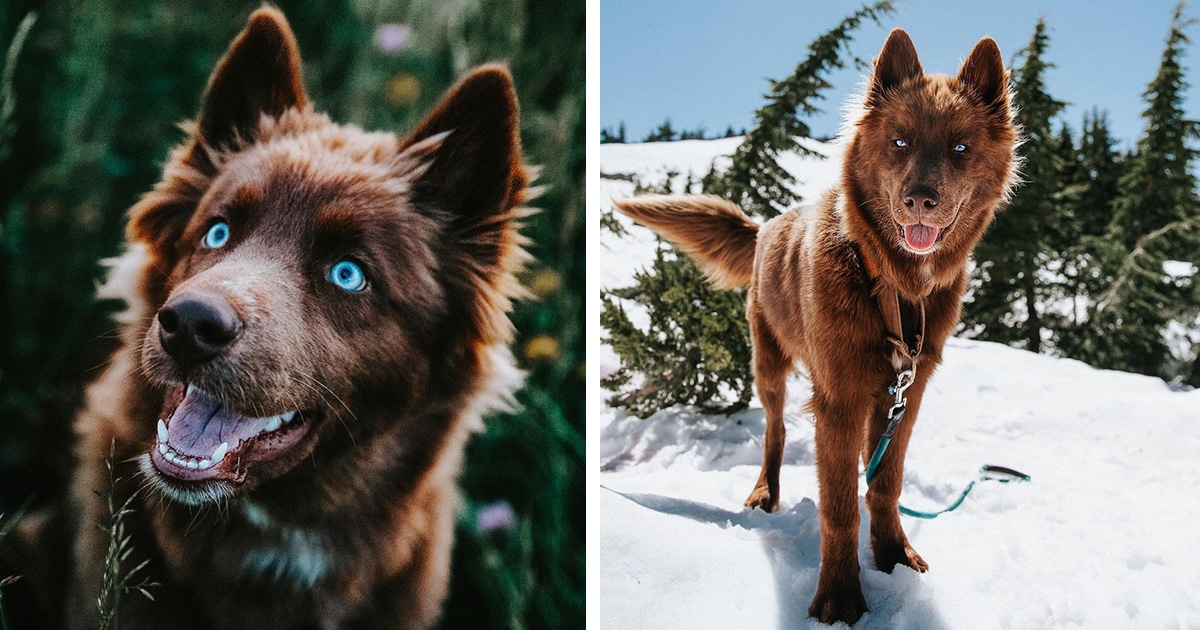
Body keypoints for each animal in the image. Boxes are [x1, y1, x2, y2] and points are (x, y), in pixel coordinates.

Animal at [614, 28, 1017, 624]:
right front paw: (841, 596)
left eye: (960, 148)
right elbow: (840, 507)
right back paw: (765, 493)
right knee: (775, 430)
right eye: (899, 142)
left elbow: (884, 484)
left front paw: (893, 556)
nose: (920, 199)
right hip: (768, 363)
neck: (888, 284)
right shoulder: (840, 396)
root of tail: (764, 226)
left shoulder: (907, 391)